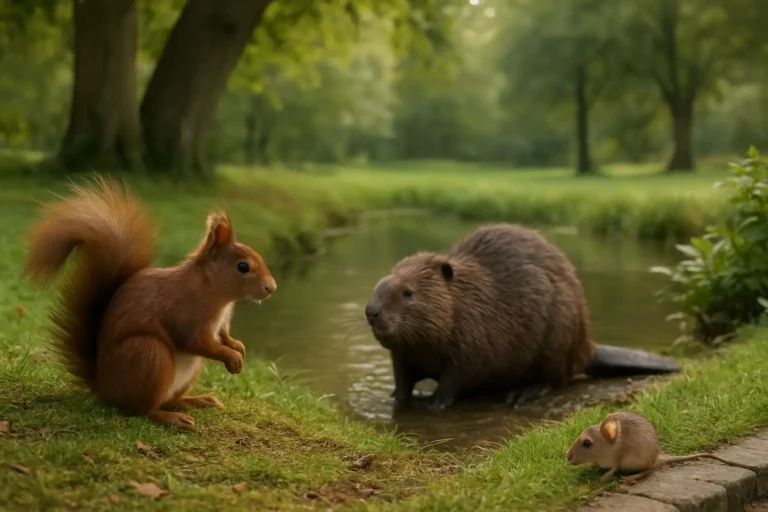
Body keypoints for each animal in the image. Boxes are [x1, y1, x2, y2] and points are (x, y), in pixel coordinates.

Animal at [23, 176, 277, 429]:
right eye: (243, 267)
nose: (271, 288)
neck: (216, 293)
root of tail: (105, 389)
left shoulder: (222, 322)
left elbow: (223, 336)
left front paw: (237, 347)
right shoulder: (187, 314)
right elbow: (197, 341)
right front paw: (232, 357)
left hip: (186, 370)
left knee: (170, 400)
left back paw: (197, 400)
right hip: (149, 354)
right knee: (143, 409)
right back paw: (171, 418)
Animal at [565, 411, 746, 482]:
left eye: (587, 443)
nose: (567, 456)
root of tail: (658, 457)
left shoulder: (618, 460)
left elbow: (613, 469)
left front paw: (603, 478)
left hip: (638, 461)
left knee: (649, 471)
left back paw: (630, 478)